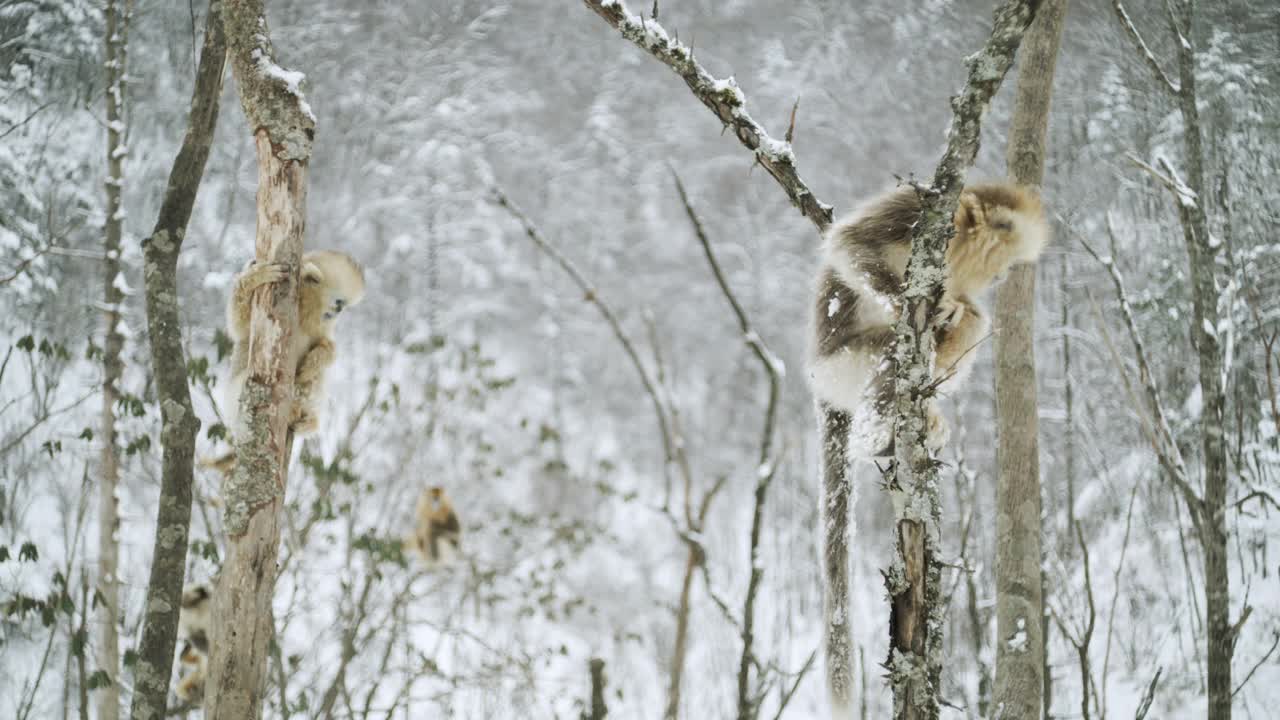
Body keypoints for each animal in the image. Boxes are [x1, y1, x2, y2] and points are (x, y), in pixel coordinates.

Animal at [203, 245, 366, 471]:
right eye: (339, 302)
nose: (339, 311)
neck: (302, 315)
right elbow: (239, 327)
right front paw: (254, 277)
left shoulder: (320, 328)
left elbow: (329, 348)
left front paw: (316, 360)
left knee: (313, 379)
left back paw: (307, 418)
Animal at [808, 183, 1049, 453]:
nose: (1005, 274)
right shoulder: (911, 210)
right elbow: (850, 242)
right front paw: (906, 307)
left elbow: (970, 311)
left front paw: (954, 312)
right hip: (842, 366)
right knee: (891, 346)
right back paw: (874, 436)